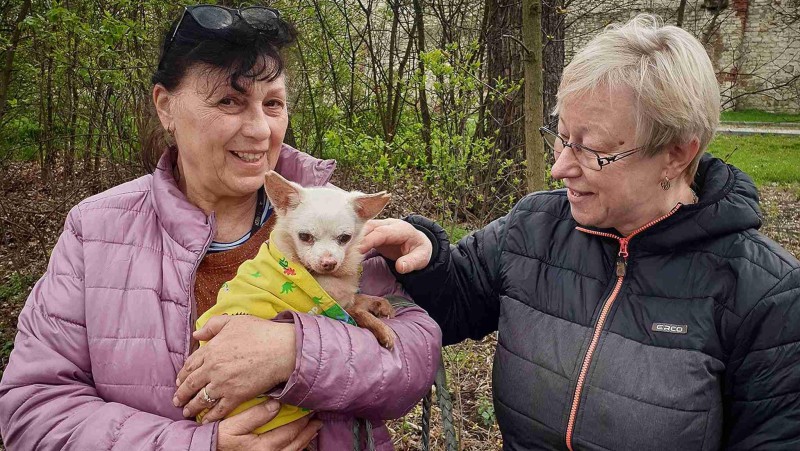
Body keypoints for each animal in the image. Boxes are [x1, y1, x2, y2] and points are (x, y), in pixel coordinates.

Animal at [266, 170, 396, 350]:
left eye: (345, 238)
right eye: (304, 236)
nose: (329, 263)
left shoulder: (345, 302)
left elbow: (361, 298)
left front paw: (381, 304)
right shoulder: (336, 313)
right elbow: (358, 312)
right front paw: (382, 329)